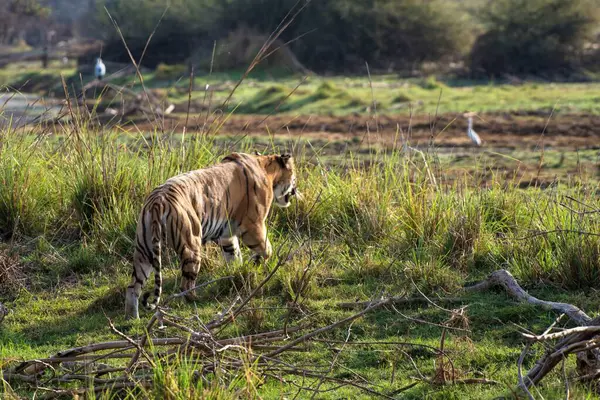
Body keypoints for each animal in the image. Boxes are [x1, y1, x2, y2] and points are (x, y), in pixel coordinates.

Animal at [125, 151, 298, 318]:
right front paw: (256, 264)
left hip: (144, 249)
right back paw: (196, 300)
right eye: (294, 176)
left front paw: (238, 273)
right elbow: (267, 249)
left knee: (133, 288)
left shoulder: (227, 235)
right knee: (185, 284)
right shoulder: (253, 226)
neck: (266, 166)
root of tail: (157, 201)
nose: (296, 190)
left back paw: (133, 318)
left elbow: (234, 256)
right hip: (191, 244)